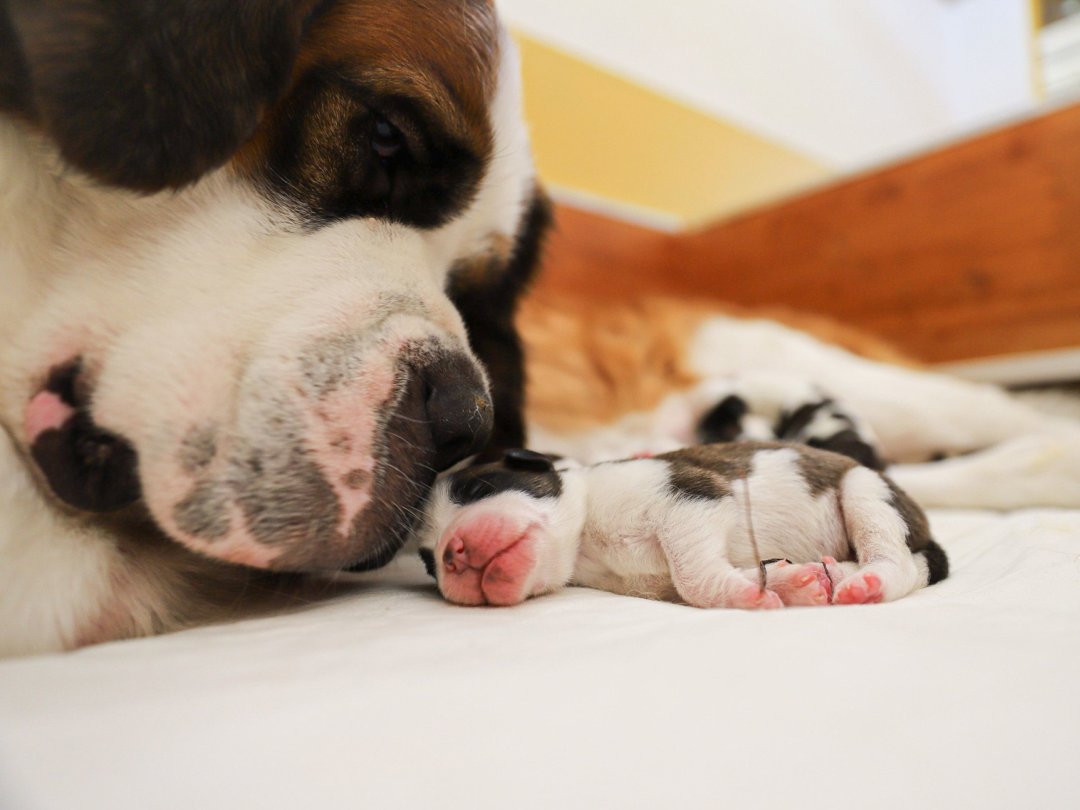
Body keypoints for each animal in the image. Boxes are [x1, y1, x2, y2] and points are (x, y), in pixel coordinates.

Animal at [416, 444, 950, 609]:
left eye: (480, 487)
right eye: (426, 562)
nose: (452, 552)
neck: (587, 543)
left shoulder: (692, 494)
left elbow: (693, 576)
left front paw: (747, 594)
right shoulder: (652, 584)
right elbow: (693, 579)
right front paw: (784, 582)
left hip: (864, 490)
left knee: (900, 561)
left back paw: (865, 581)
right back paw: (833, 574)